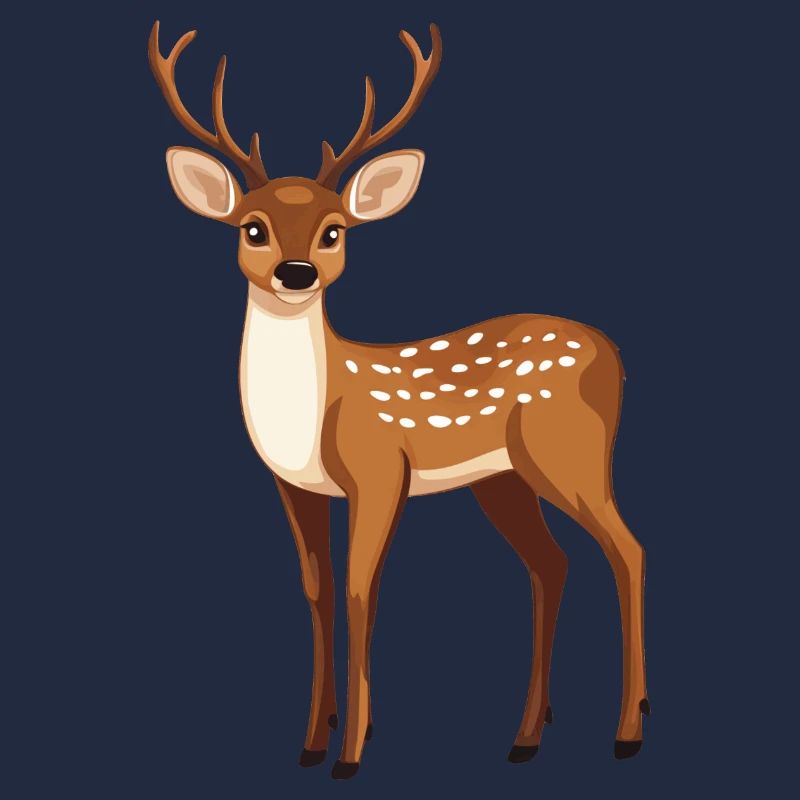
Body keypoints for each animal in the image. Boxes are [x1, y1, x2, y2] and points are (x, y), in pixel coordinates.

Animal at [148, 20, 649, 779]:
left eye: (334, 230)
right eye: (252, 227)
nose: (297, 273)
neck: (311, 414)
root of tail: (613, 354)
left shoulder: (380, 469)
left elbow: (361, 590)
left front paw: (352, 752)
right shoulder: (293, 486)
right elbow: (319, 592)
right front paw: (310, 743)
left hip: (567, 451)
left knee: (628, 550)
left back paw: (628, 732)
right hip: (502, 479)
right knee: (551, 564)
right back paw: (525, 738)